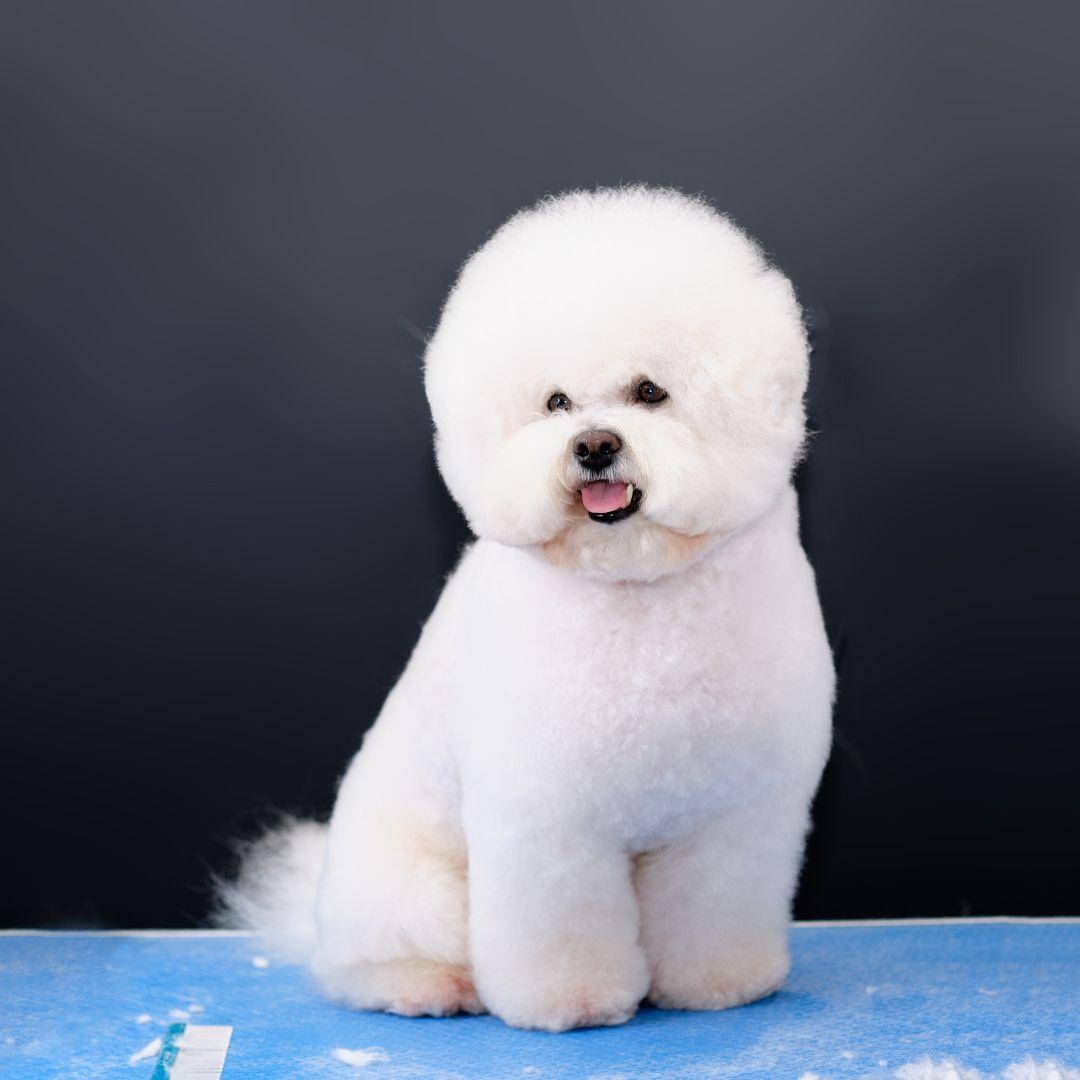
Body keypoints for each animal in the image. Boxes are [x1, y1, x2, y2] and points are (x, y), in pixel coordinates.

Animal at [221, 185, 833, 1028]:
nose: (594, 445)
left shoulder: (733, 816)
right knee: (372, 962)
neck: (638, 596)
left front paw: (721, 983)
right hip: (412, 890)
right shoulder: (550, 819)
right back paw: (431, 986)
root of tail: (315, 910)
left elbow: (714, 906)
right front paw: (573, 1003)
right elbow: (559, 927)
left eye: (650, 392)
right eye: (556, 402)